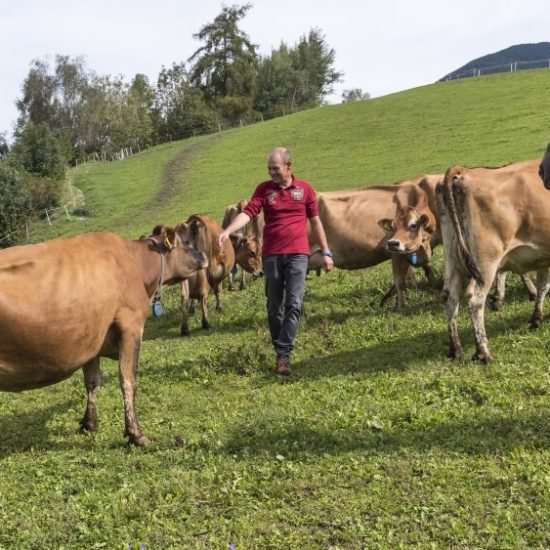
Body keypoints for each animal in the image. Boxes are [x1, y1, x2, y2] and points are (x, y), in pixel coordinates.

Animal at [0, 231, 208, 446]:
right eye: (184, 243)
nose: (203, 255)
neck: (134, 262)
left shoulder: (91, 340)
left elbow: (93, 383)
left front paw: (89, 424)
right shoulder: (130, 327)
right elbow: (128, 380)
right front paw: (136, 434)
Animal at [438, 157, 548, 364]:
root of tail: (463, 173)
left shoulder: (543, 257)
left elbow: (543, 286)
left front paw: (536, 319)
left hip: (453, 261)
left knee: (451, 300)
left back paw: (455, 349)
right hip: (485, 261)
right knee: (475, 300)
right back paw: (483, 352)